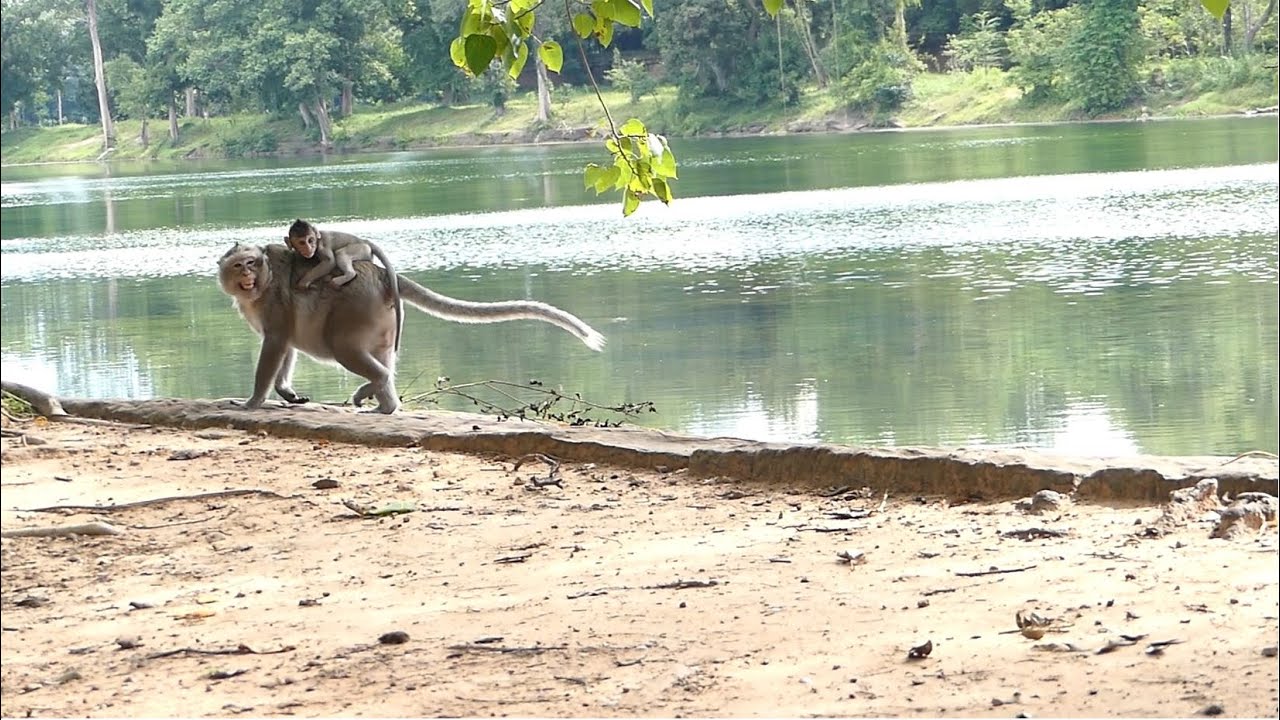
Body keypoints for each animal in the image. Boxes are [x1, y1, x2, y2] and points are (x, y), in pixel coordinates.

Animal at [217, 242, 606, 415]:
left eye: (251, 263)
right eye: (239, 265)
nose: (248, 274)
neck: (263, 285)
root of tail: (383, 276)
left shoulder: (274, 303)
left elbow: (277, 343)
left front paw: (252, 401)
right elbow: (285, 345)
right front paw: (286, 392)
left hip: (357, 306)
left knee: (343, 347)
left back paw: (381, 394)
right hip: (380, 319)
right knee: (378, 357)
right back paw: (384, 400)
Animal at [286, 219, 404, 351]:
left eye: (310, 240)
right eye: (302, 242)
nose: (309, 247)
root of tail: (364, 241)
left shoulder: (321, 247)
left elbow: (329, 261)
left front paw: (303, 282)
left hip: (361, 249)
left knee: (341, 253)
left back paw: (345, 276)